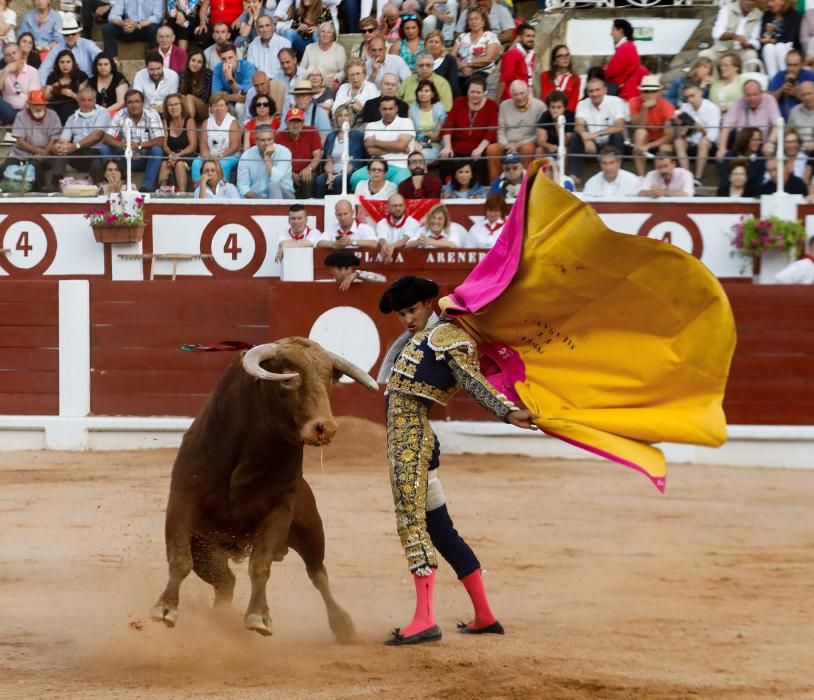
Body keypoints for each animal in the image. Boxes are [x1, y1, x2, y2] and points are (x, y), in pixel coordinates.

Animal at [151, 336, 378, 644]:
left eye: (328, 380)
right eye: (288, 380)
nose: (325, 428)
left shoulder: (278, 511)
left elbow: (260, 565)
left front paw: (259, 616)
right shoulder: (183, 501)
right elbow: (178, 559)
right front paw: (165, 609)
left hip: (311, 528)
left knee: (318, 574)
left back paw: (343, 625)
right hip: (206, 551)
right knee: (225, 582)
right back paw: (219, 618)